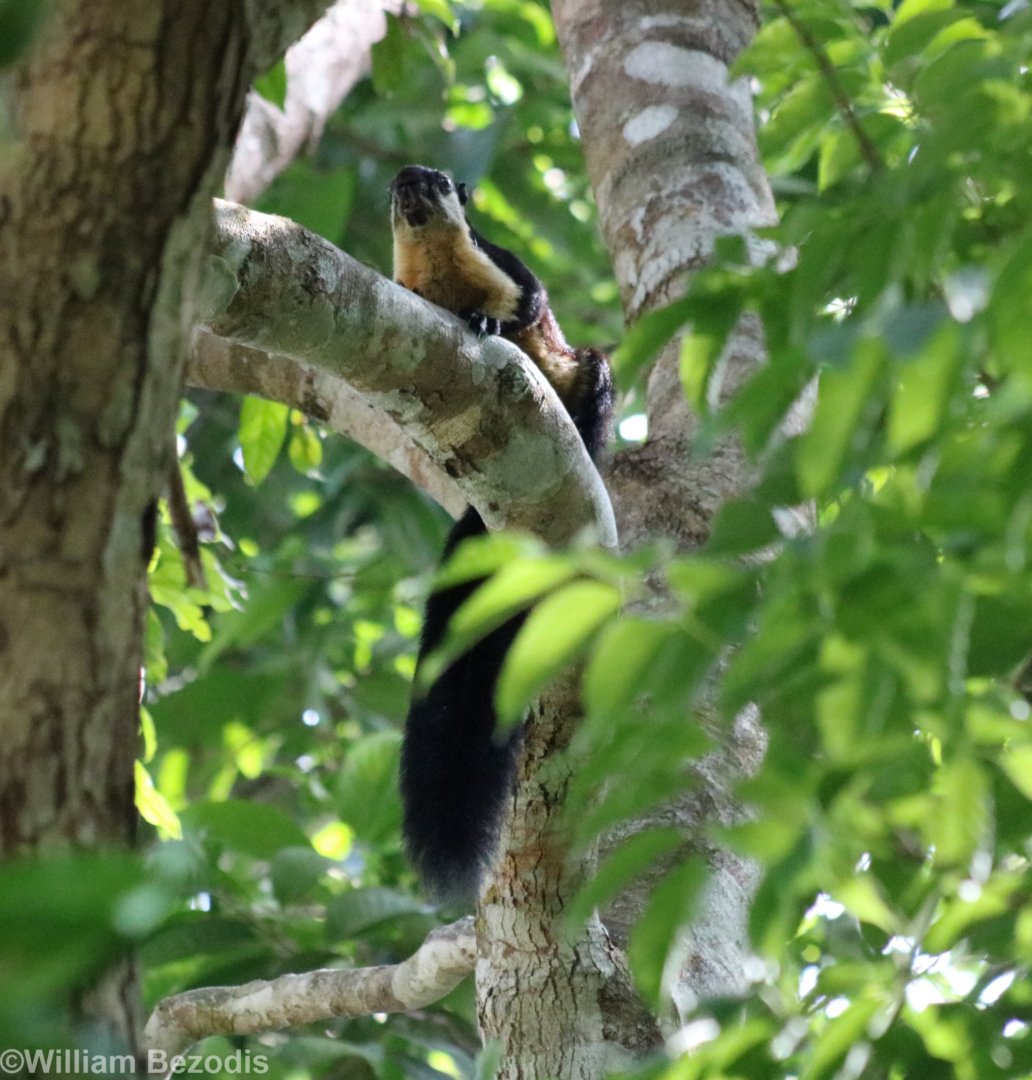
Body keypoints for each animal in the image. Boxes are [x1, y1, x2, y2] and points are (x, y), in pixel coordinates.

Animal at [390, 164, 613, 902]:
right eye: (398, 184)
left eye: (437, 180)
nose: (409, 180)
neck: (438, 266)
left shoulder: (502, 263)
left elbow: (529, 300)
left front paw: (489, 321)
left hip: (589, 378)